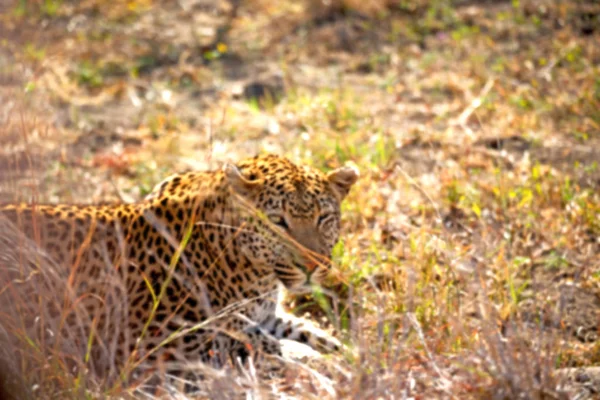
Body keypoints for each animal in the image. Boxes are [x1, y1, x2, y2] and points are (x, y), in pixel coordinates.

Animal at [0, 152, 356, 384]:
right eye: (278, 222)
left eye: (324, 218)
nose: (312, 266)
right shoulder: (155, 345)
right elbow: (260, 347)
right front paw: (319, 369)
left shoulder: (263, 316)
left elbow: (308, 332)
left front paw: (344, 356)